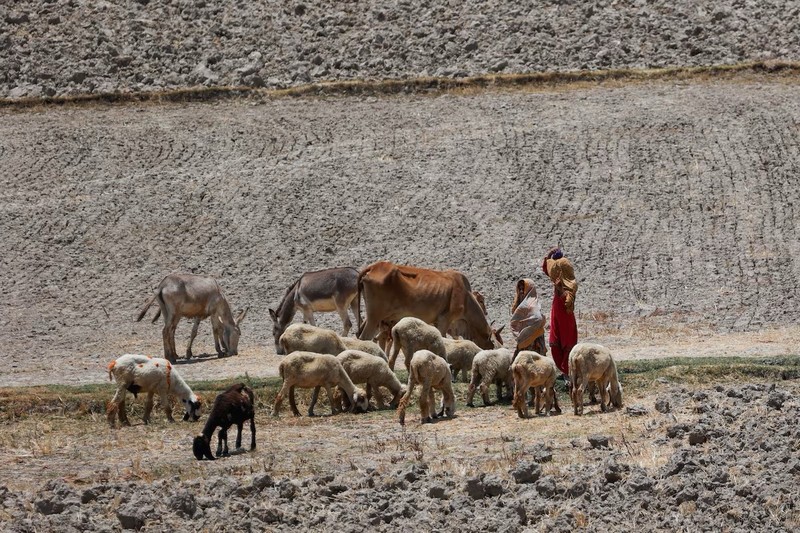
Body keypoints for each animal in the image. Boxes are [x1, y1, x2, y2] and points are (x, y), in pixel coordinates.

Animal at [354, 260, 494, 350]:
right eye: (490, 338)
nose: (492, 347)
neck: (466, 296)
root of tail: (373, 267)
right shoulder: (444, 320)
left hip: (375, 319)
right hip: (374, 318)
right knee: (364, 338)